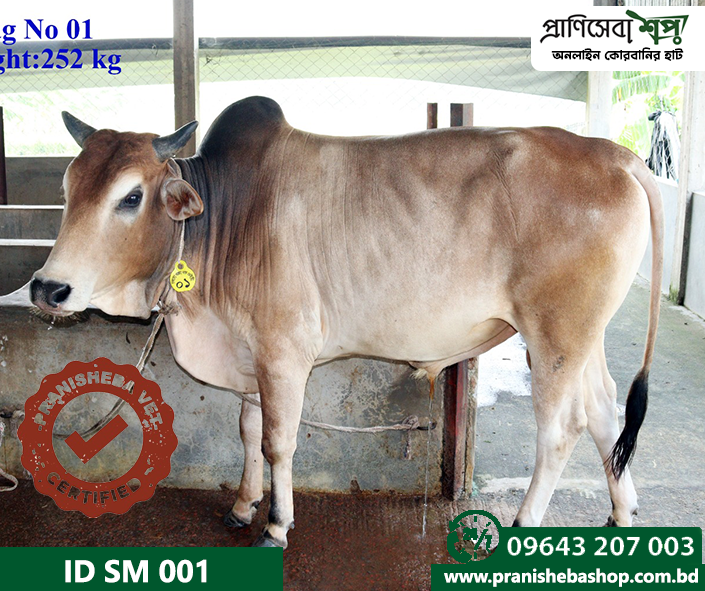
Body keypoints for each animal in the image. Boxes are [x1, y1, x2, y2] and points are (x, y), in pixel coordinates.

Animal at [30, 96, 663, 547]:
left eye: (131, 196)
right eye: (66, 187)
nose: (48, 288)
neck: (224, 215)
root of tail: (616, 154)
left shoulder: (284, 352)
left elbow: (278, 441)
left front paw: (276, 525)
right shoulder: (251, 354)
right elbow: (248, 429)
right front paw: (242, 505)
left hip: (554, 335)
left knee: (560, 430)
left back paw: (525, 526)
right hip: (583, 337)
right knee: (605, 410)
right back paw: (622, 515)